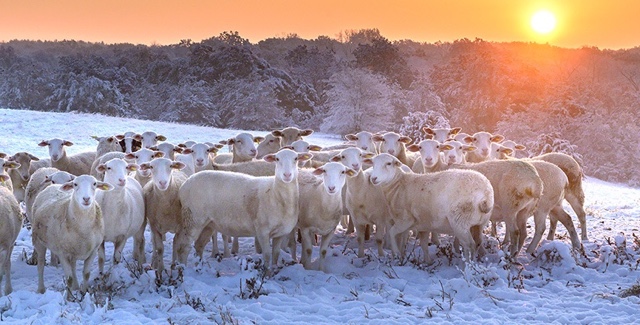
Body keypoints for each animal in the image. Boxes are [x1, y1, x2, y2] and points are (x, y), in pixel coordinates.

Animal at [176, 148, 314, 270]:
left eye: (296, 158)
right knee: (183, 246)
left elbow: (275, 254)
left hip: (209, 223)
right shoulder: (262, 231)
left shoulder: (280, 233)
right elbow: (267, 255)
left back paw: (199, 267)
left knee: (199, 245)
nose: (287, 175)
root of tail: (185, 184)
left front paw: (273, 271)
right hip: (193, 218)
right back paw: (182, 269)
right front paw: (266, 274)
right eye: (277, 159)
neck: (275, 194)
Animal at [364, 153, 496, 262]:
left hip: (460, 222)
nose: (373, 178)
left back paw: (468, 267)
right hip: (479, 223)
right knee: (477, 242)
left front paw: (396, 253)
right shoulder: (423, 224)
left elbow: (392, 233)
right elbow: (421, 244)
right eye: (373, 164)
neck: (399, 185)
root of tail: (486, 195)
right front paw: (425, 261)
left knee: (469, 245)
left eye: (388, 163)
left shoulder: (405, 220)